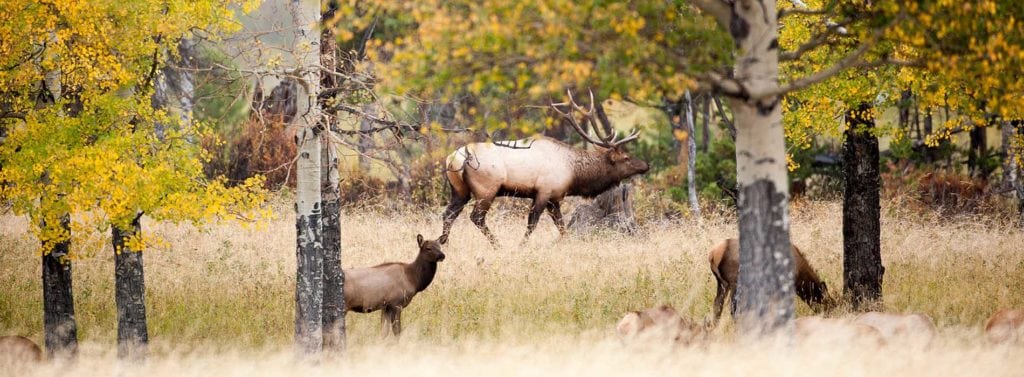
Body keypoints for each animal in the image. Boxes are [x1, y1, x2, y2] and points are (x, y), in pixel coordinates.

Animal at [440, 90, 647, 245]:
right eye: (626, 158)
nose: (646, 165)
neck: (574, 175)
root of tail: (454, 158)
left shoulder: (554, 198)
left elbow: (561, 225)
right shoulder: (544, 191)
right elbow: (533, 223)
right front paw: (521, 246)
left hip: (459, 190)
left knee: (448, 214)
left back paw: (444, 243)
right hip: (487, 188)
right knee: (476, 217)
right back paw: (497, 244)